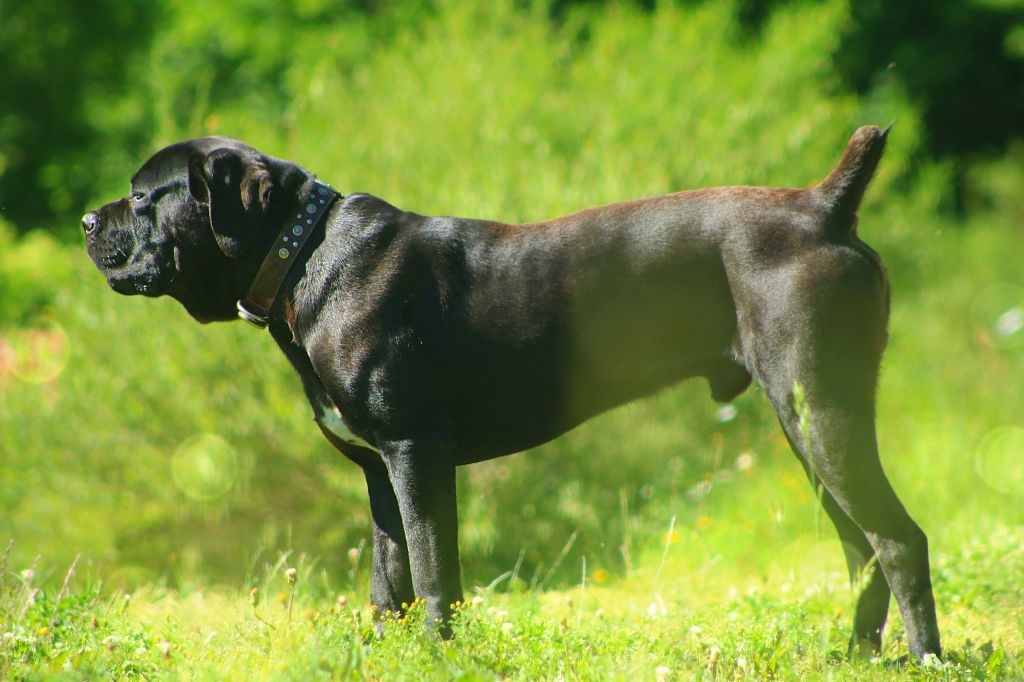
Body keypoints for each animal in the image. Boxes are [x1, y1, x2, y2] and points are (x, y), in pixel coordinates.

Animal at [81, 127, 937, 659]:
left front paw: (439, 653)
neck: (303, 255)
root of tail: (826, 206)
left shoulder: (417, 452)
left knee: (899, 540)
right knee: (861, 548)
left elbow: (434, 571)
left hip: (821, 411)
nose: (89, 218)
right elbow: (388, 578)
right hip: (809, 431)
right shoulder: (378, 472)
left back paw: (924, 657)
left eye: (147, 196)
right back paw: (856, 656)